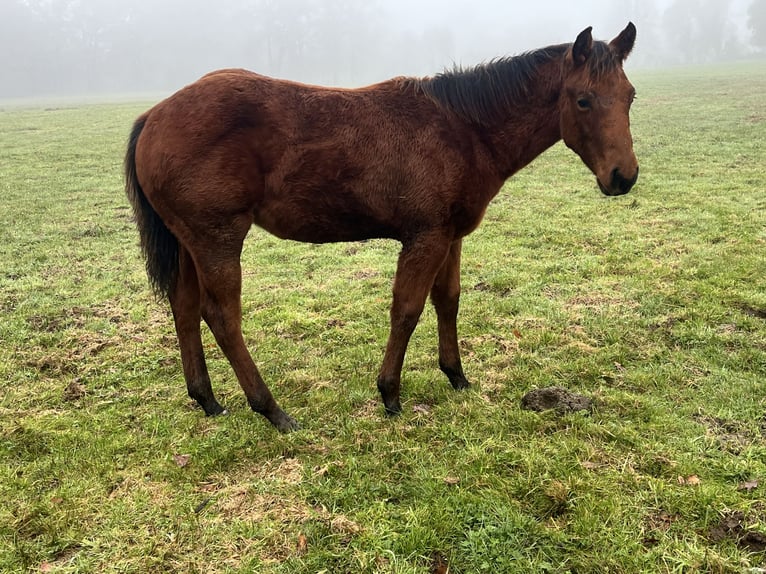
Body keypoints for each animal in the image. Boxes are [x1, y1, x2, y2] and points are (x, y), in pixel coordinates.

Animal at [125, 24, 638, 432]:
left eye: (630, 95)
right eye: (583, 100)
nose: (623, 177)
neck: (463, 130)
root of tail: (154, 115)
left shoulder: (449, 236)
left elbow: (447, 300)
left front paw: (456, 375)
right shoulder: (424, 237)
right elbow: (407, 310)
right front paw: (390, 392)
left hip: (188, 242)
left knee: (184, 306)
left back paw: (207, 399)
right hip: (218, 239)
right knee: (221, 315)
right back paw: (270, 409)